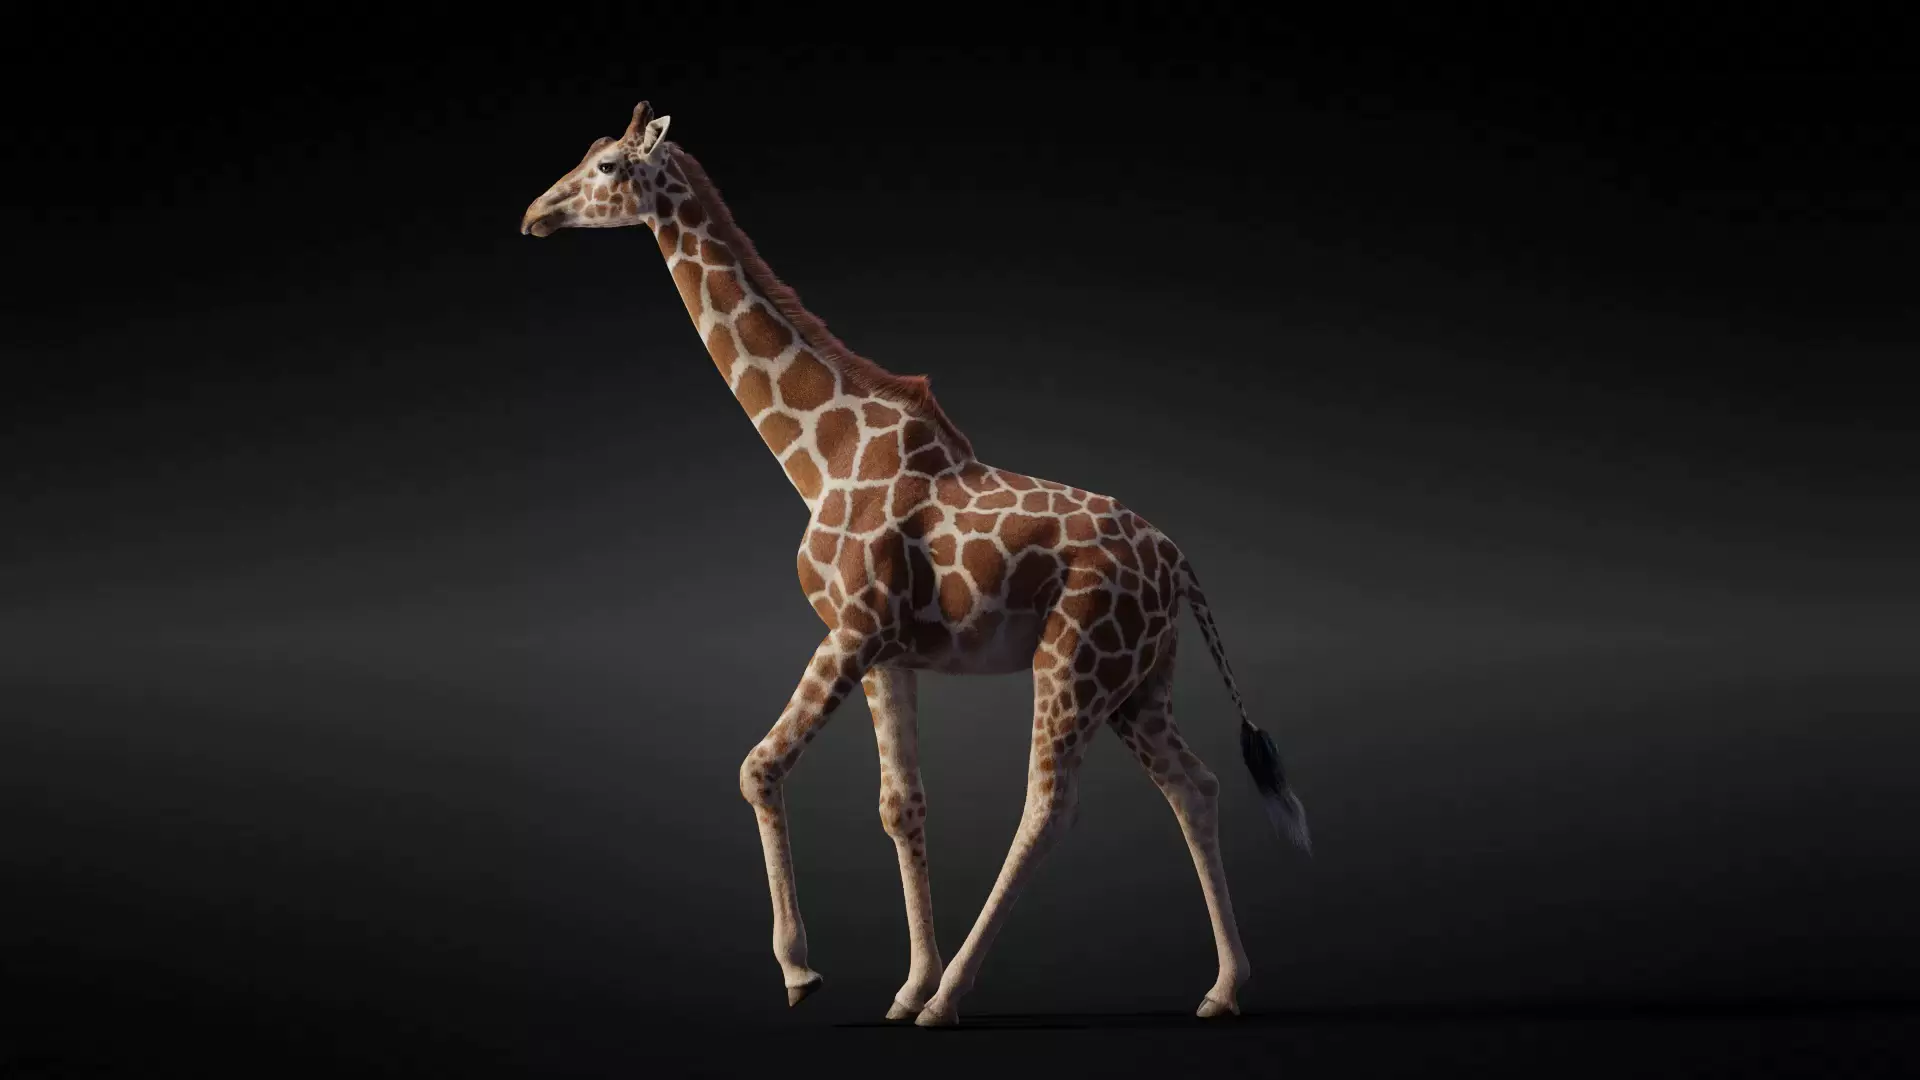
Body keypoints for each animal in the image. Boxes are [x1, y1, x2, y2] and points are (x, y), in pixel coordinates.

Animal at [519, 101, 1312, 1027]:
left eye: (608, 166)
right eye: (584, 155)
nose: (535, 214)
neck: (820, 452)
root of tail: (1181, 561)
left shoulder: (852, 629)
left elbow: (760, 767)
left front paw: (805, 970)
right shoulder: (886, 651)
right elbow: (901, 805)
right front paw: (906, 984)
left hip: (1074, 660)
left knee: (1050, 806)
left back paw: (960, 996)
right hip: (1140, 680)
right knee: (1196, 785)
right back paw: (1221, 987)